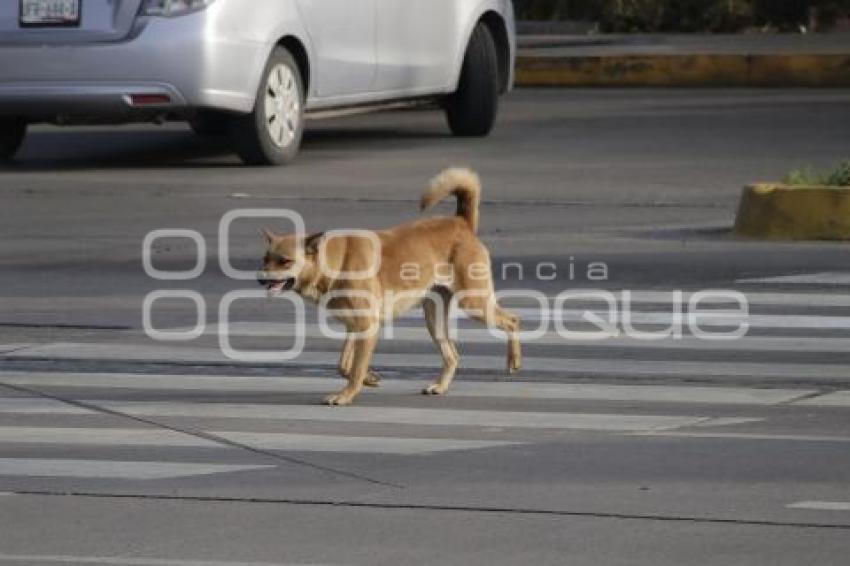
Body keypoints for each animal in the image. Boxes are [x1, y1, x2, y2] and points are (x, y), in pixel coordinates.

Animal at [258, 166, 520, 406]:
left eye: (285, 261)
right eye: (265, 259)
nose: (260, 279)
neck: (337, 261)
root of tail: (460, 222)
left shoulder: (366, 326)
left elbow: (354, 369)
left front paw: (346, 395)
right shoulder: (355, 326)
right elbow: (344, 365)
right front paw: (369, 378)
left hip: (473, 302)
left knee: (512, 321)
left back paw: (513, 360)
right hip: (434, 319)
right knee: (452, 356)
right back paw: (440, 386)